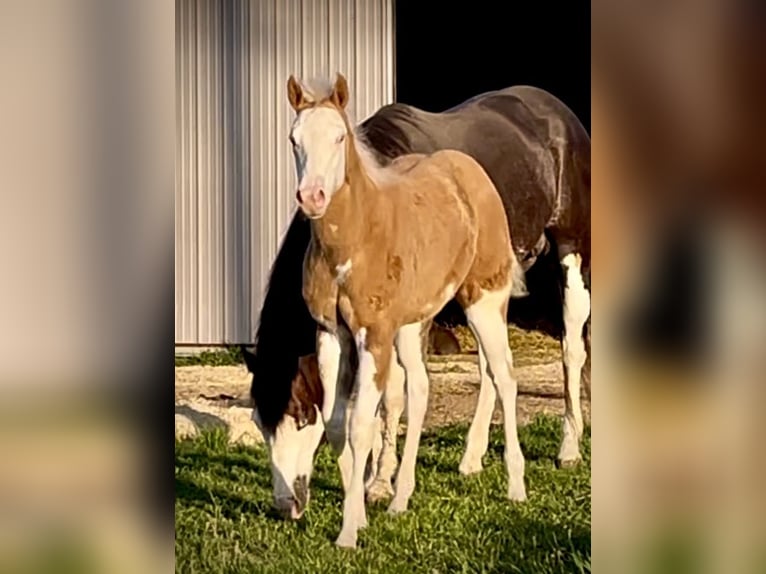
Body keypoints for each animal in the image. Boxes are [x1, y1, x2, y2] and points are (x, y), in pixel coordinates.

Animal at [245, 76, 590, 527]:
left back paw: (568, 448)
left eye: (301, 414)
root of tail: (560, 115)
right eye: (259, 422)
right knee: (490, 366)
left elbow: (393, 394)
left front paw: (379, 482)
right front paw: (371, 479)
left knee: (571, 346)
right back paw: (472, 457)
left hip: (569, 251)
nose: (286, 505)